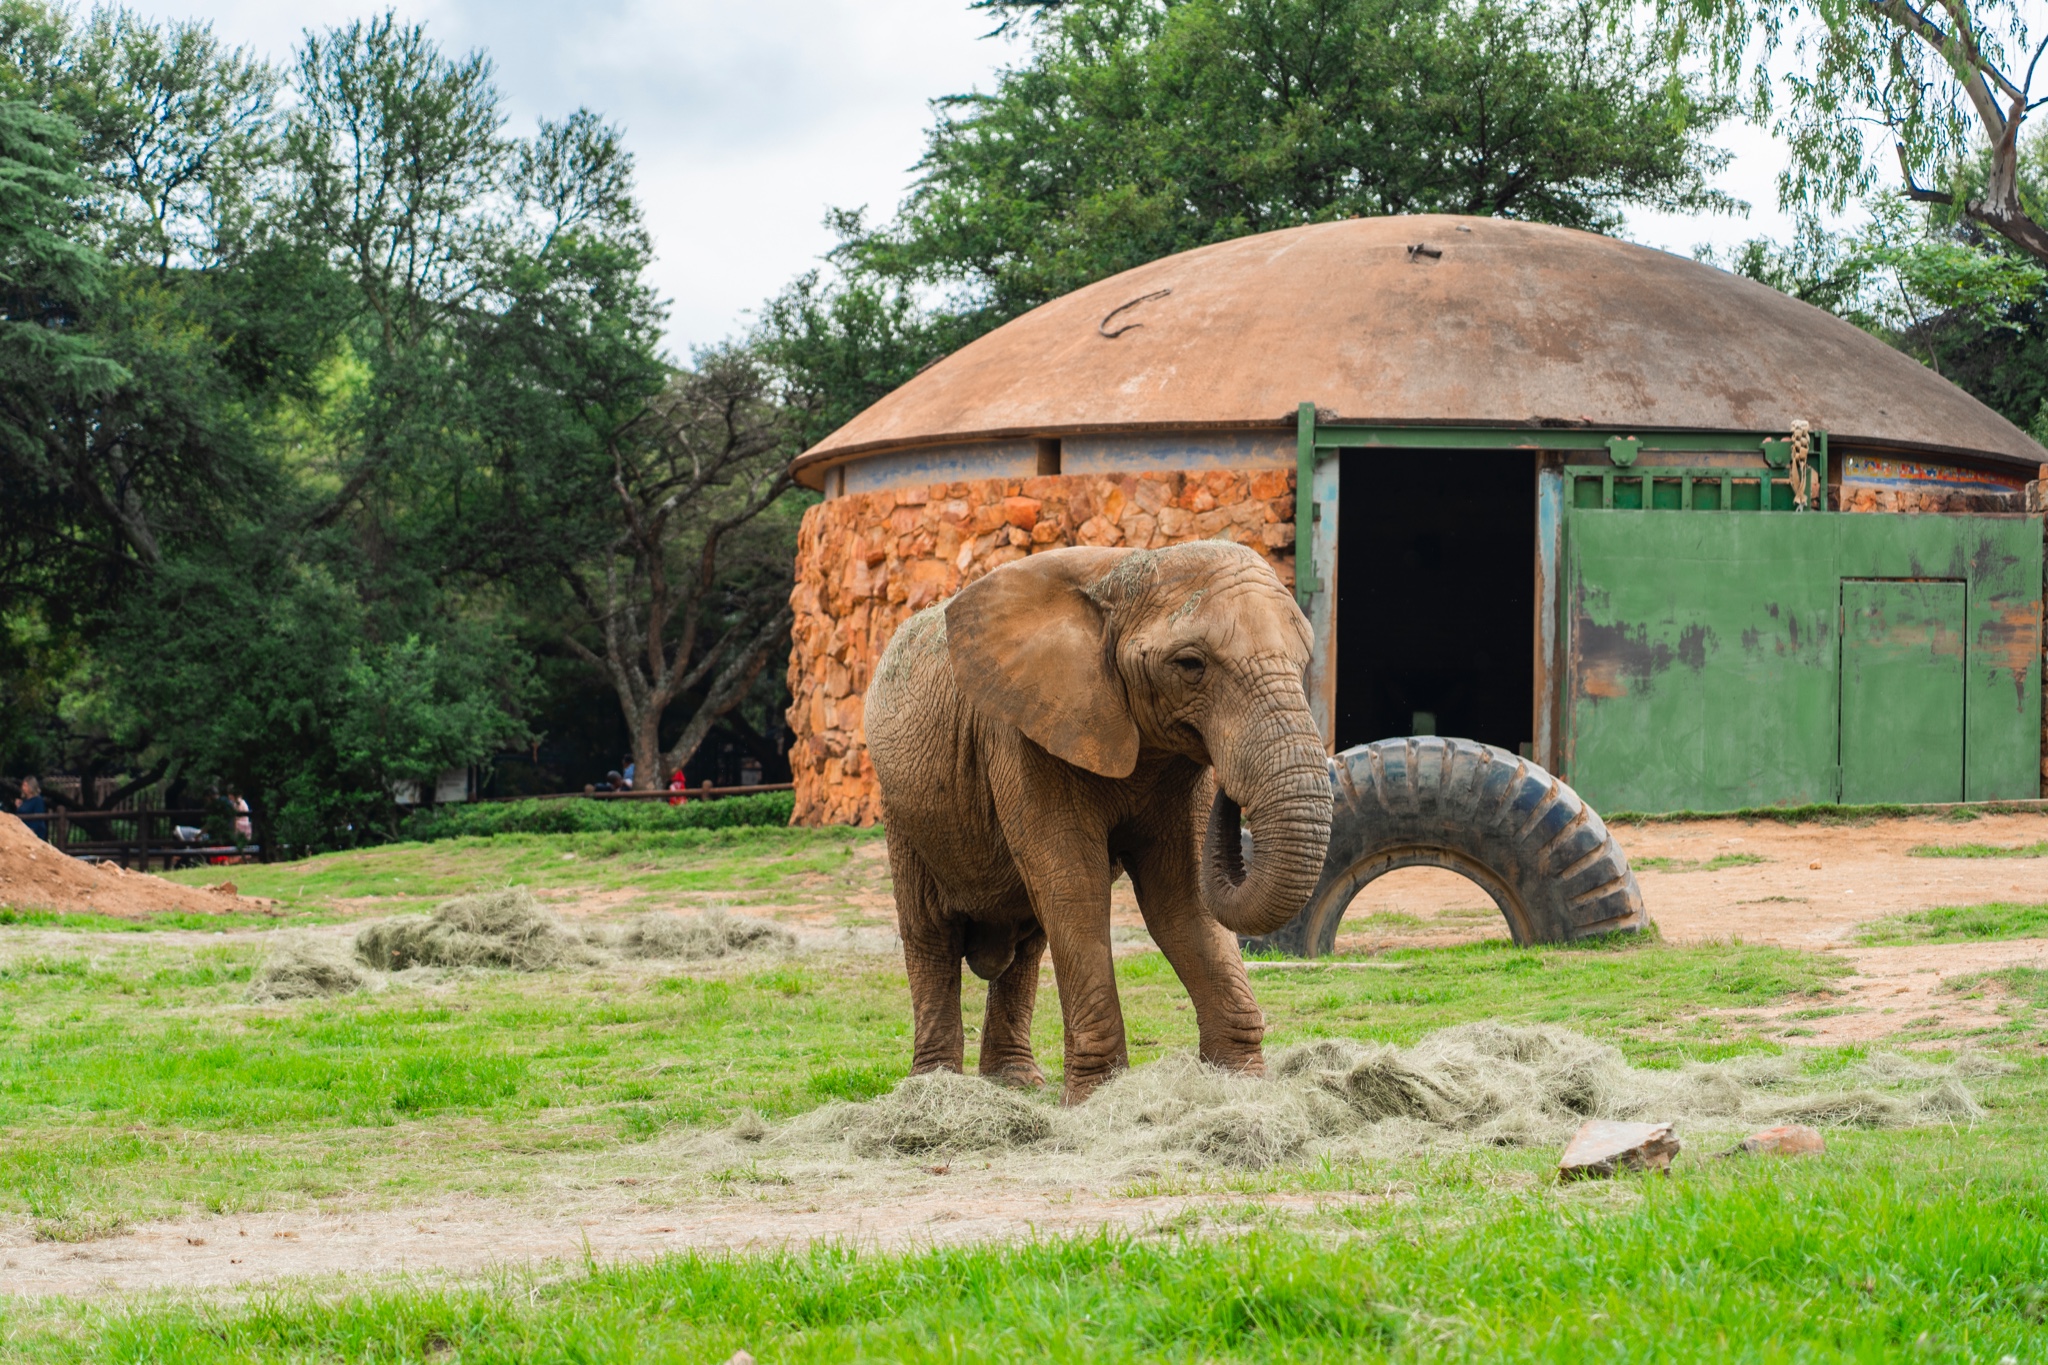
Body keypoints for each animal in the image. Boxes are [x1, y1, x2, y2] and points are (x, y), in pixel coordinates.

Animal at [868, 540, 1335, 1105]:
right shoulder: (1024, 733)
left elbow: (1179, 899)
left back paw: (1013, 1081)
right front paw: (1095, 1099)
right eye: (1190, 664)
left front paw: (1240, 1084)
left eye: (1304, 660)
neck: (1125, 573)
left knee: (1027, 943)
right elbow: (1075, 887)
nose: (1230, 791)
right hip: (902, 810)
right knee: (931, 935)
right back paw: (932, 1088)